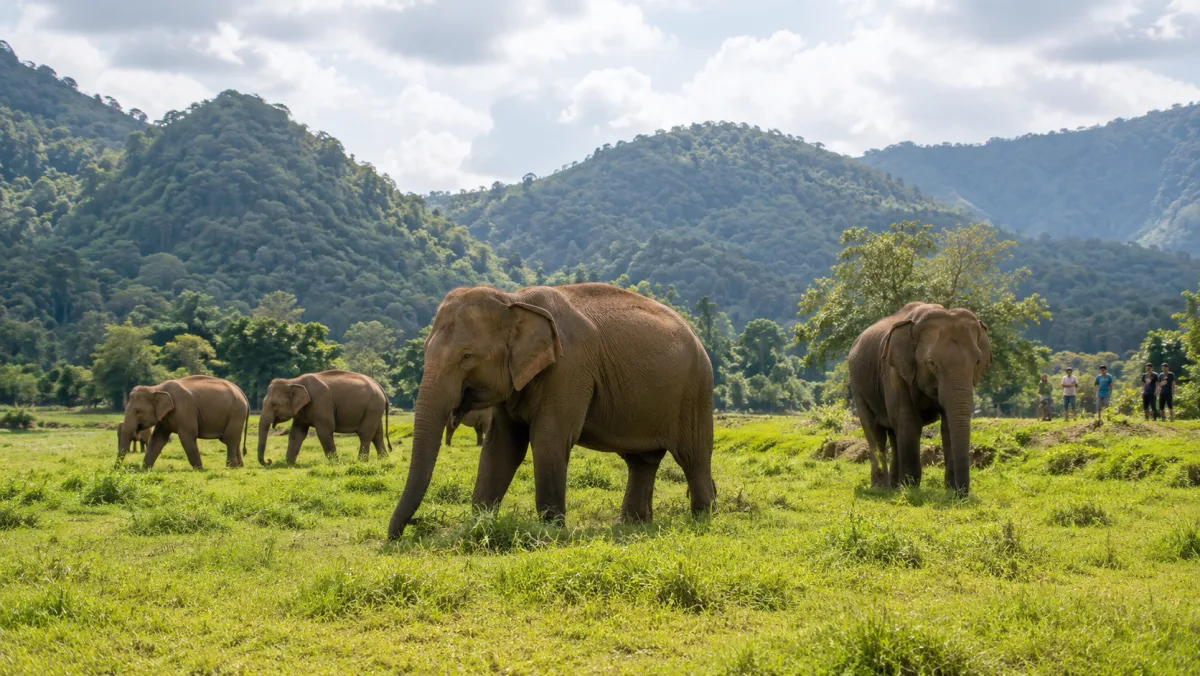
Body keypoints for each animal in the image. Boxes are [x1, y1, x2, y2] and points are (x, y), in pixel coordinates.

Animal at [117, 375, 251, 469]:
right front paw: (145, 469)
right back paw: (239, 466)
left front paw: (199, 469)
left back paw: (231, 467)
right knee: (233, 439)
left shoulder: (184, 410)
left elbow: (187, 437)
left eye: (138, 411)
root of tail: (242, 392)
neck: (156, 388)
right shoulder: (164, 417)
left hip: (236, 412)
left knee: (230, 438)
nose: (118, 469)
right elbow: (158, 439)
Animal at [256, 370, 392, 466]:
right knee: (377, 435)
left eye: (274, 404)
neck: (294, 381)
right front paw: (289, 464)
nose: (269, 461)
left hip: (373, 407)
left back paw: (361, 461)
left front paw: (336, 463)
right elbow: (296, 433)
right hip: (374, 410)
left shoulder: (321, 402)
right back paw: (384, 460)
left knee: (365, 434)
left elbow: (324, 431)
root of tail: (380, 387)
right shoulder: (302, 411)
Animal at [387, 283, 717, 540]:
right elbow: (502, 445)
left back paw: (703, 519)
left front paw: (550, 533)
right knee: (642, 461)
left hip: (695, 390)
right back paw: (631, 526)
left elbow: (548, 438)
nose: (402, 534)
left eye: (467, 356)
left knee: (692, 457)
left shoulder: (569, 368)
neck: (513, 298)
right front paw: (478, 525)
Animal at [847, 301, 991, 496]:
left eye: (977, 361)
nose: (961, 495)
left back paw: (895, 486)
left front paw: (948, 491)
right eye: (931, 363)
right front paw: (911, 490)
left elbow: (947, 426)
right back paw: (882, 489)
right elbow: (909, 422)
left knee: (894, 434)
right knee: (875, 432)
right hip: (858, 386)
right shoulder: (893, 372)